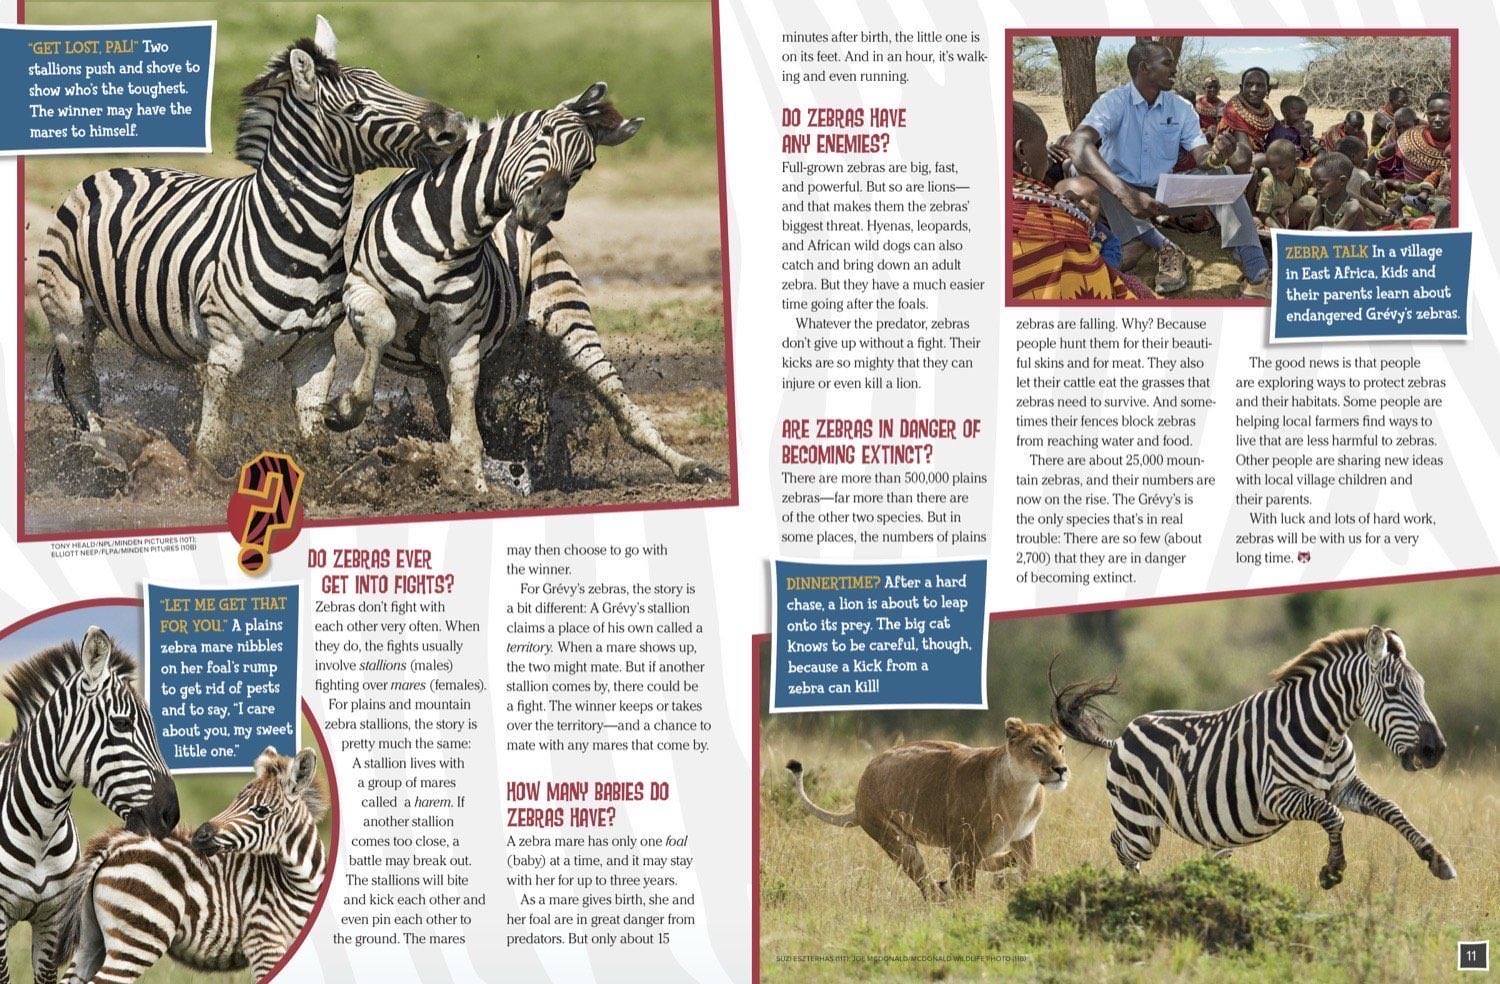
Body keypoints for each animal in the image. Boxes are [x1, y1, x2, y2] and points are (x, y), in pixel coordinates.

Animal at [35, 16, 466, 471]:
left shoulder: (315, 353)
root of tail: (110, 170)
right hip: (70, 319)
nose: (455, 126)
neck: (302, 239)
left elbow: (314, 439)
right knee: (84, 388)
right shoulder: (225, 355)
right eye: (354, 110)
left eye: (386, 81)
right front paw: (201, 480)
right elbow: (211, 443)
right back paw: (105, 454)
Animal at [54, 746, 325, 984]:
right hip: (139, 937)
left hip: (91, 938)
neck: (294, 882)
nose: (200, 836)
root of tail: (115, 846)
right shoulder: (263, 940)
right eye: (236, 800)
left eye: (261, 811)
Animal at [323, 82, 708, 492]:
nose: (546, 207)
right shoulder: (361, 289)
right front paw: (346, 410)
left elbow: (466, 426)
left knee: (616, 399)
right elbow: (383, 330)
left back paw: (685, 464)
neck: (452, 235)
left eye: (585, 165)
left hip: (569, 321)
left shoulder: (460, 335)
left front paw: (473, 483)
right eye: (545, 133)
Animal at [786, 718, 1069, 900]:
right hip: (896, 839)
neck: (1022, 789)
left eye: (1060, 747)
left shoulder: (1024, 835)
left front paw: (1026, 886)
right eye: (1036, 748)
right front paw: (968, 910)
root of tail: (858, 796)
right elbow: (966, 887)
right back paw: (943, 894)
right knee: (928, 887)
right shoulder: (963, 842)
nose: (1061, 769)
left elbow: (1029, 867)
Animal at [1052, 625, 1456, 889]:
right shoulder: (1277, 796)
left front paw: (1437, 859)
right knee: (1121, 846)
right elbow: (1333, 816)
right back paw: (1132, 893)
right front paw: (1332, 871)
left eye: (1421, 688)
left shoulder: (1343, 786)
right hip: (1140, 821)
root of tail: (1123, 734)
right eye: (1392, 690)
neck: (1326, 734)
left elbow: (1391, 808)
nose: (1434, 750)